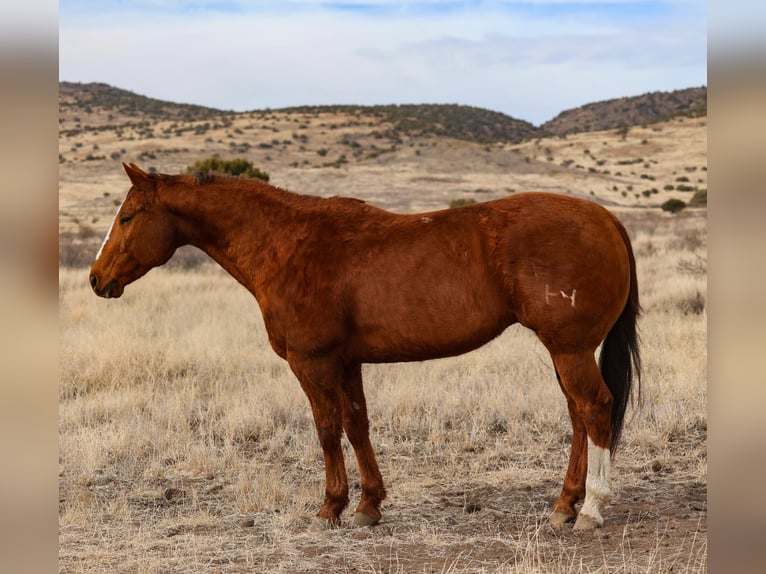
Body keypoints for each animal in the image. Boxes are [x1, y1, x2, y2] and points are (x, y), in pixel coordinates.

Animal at [91, 162, 640, 532]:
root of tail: (605, 218)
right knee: (578, 415)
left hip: (569, 349)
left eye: (128, 217)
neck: (289, 245)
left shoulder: (311, 363)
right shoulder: (347, 361)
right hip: (564, 352)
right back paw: (563, 505)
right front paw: (369, 505)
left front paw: (330, 507)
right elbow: (357, 425)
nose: (97, 279)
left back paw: (591, 508)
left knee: (595, 408)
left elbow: (326, 429)